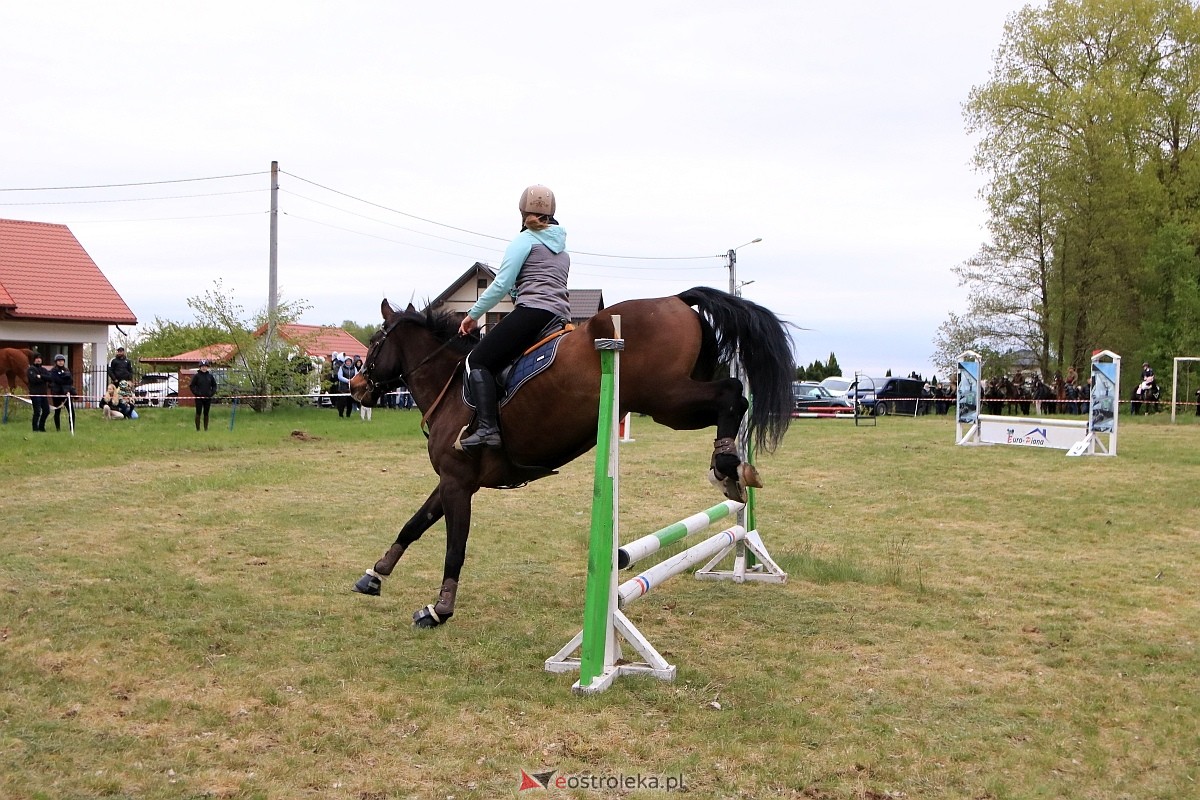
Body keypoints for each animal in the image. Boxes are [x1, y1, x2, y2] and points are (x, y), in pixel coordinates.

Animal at [348, 287, 796, 633]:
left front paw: (438, 609)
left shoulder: (458, 483)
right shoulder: (453, 482)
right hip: (670, 409)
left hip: (666, 396)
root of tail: (674, 299)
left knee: (732, 393)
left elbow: (453, 547)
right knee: (732, 400)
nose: (355, 386)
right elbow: (414, 524)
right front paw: (375, 574)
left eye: (375, 342)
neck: (451, 385)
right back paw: (730, 468)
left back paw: (727, 467)